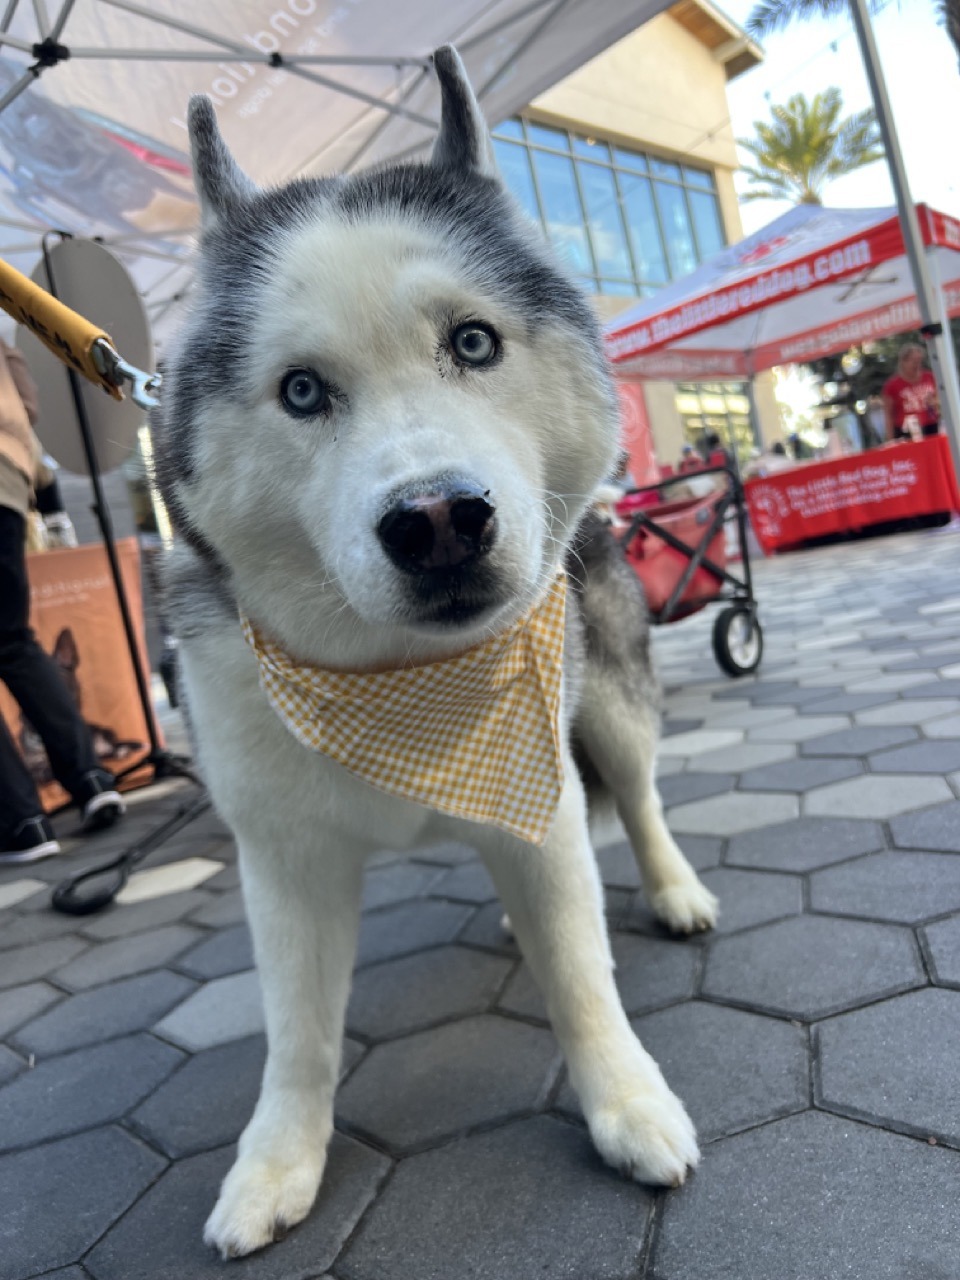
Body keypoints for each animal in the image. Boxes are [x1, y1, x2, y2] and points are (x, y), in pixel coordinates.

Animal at [156, 47, 716, 1259]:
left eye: (472, 342)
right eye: (302, 390)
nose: (439, 521)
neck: (398, 685)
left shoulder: (534, 781)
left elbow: (581, 972)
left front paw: (626, 1101)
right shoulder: (282, 857)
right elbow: (297, 1031)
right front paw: (278, 1159)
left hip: (602, 700)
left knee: (639, 793)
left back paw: (674, 888)